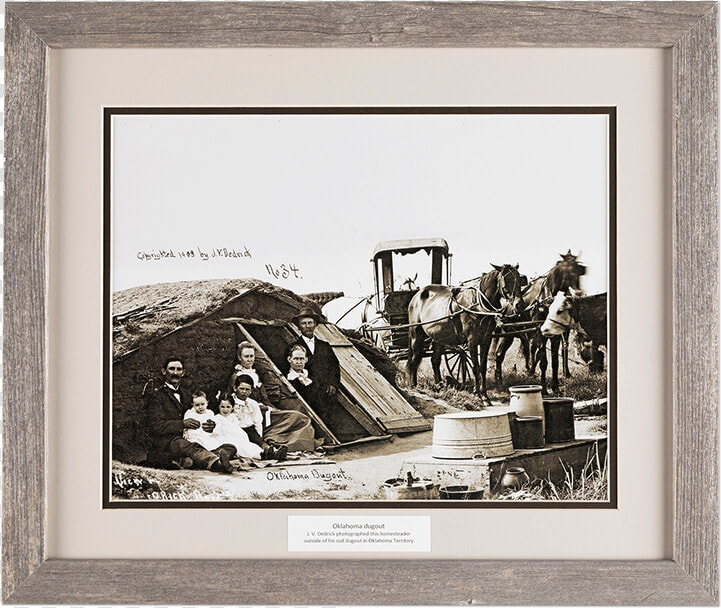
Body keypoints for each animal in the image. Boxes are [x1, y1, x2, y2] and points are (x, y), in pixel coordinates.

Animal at [404, 264, 524, 406]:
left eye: (519, 278)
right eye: (506, 280)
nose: (519, 304)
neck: (477, 305)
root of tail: (416, 295)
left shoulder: (486, 340)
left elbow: (482, 367)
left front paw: (485, 396)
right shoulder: (472, 340)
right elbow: (475, 367)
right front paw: (478, 395)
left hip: (439, 338)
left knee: (435, 361)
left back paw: (439, 386)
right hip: (416, 334)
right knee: (414, 358)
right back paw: (413, 385)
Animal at [490, 251, 584, 394]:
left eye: (579, 269)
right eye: (567, 269)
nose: (578, 292)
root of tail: (506, 307)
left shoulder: (555, 336)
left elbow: (554, 362)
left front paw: (556, 388)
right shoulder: (540, 333)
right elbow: (543, 361)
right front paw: (544, 389)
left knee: (504, 353)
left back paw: (501, 381)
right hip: (509, 333)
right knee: (500, 354)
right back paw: (499, 382)